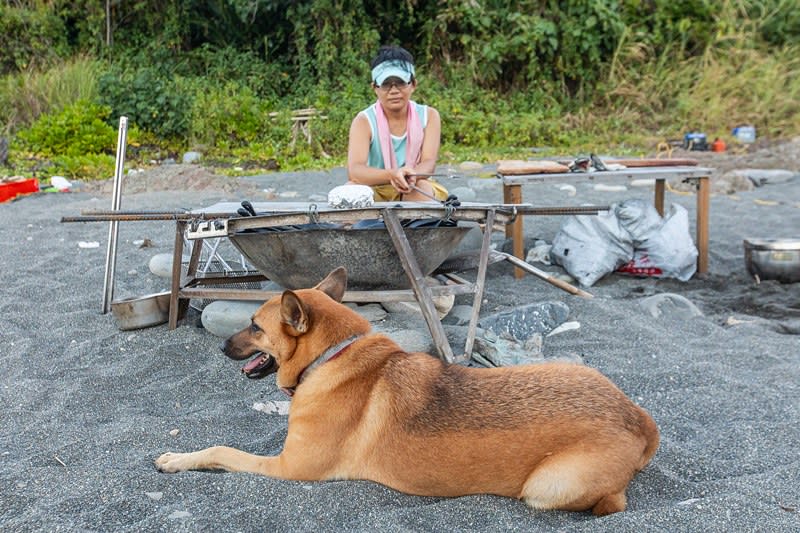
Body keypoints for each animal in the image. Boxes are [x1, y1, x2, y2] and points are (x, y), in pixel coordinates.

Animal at [155, 268, 656, 512]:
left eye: (254, 326)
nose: (221, 346)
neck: (331, 355)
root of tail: (636, 417)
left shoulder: (289, 467)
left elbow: (222, 449)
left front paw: (179, 459)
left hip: (548, 485)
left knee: (608, 502)